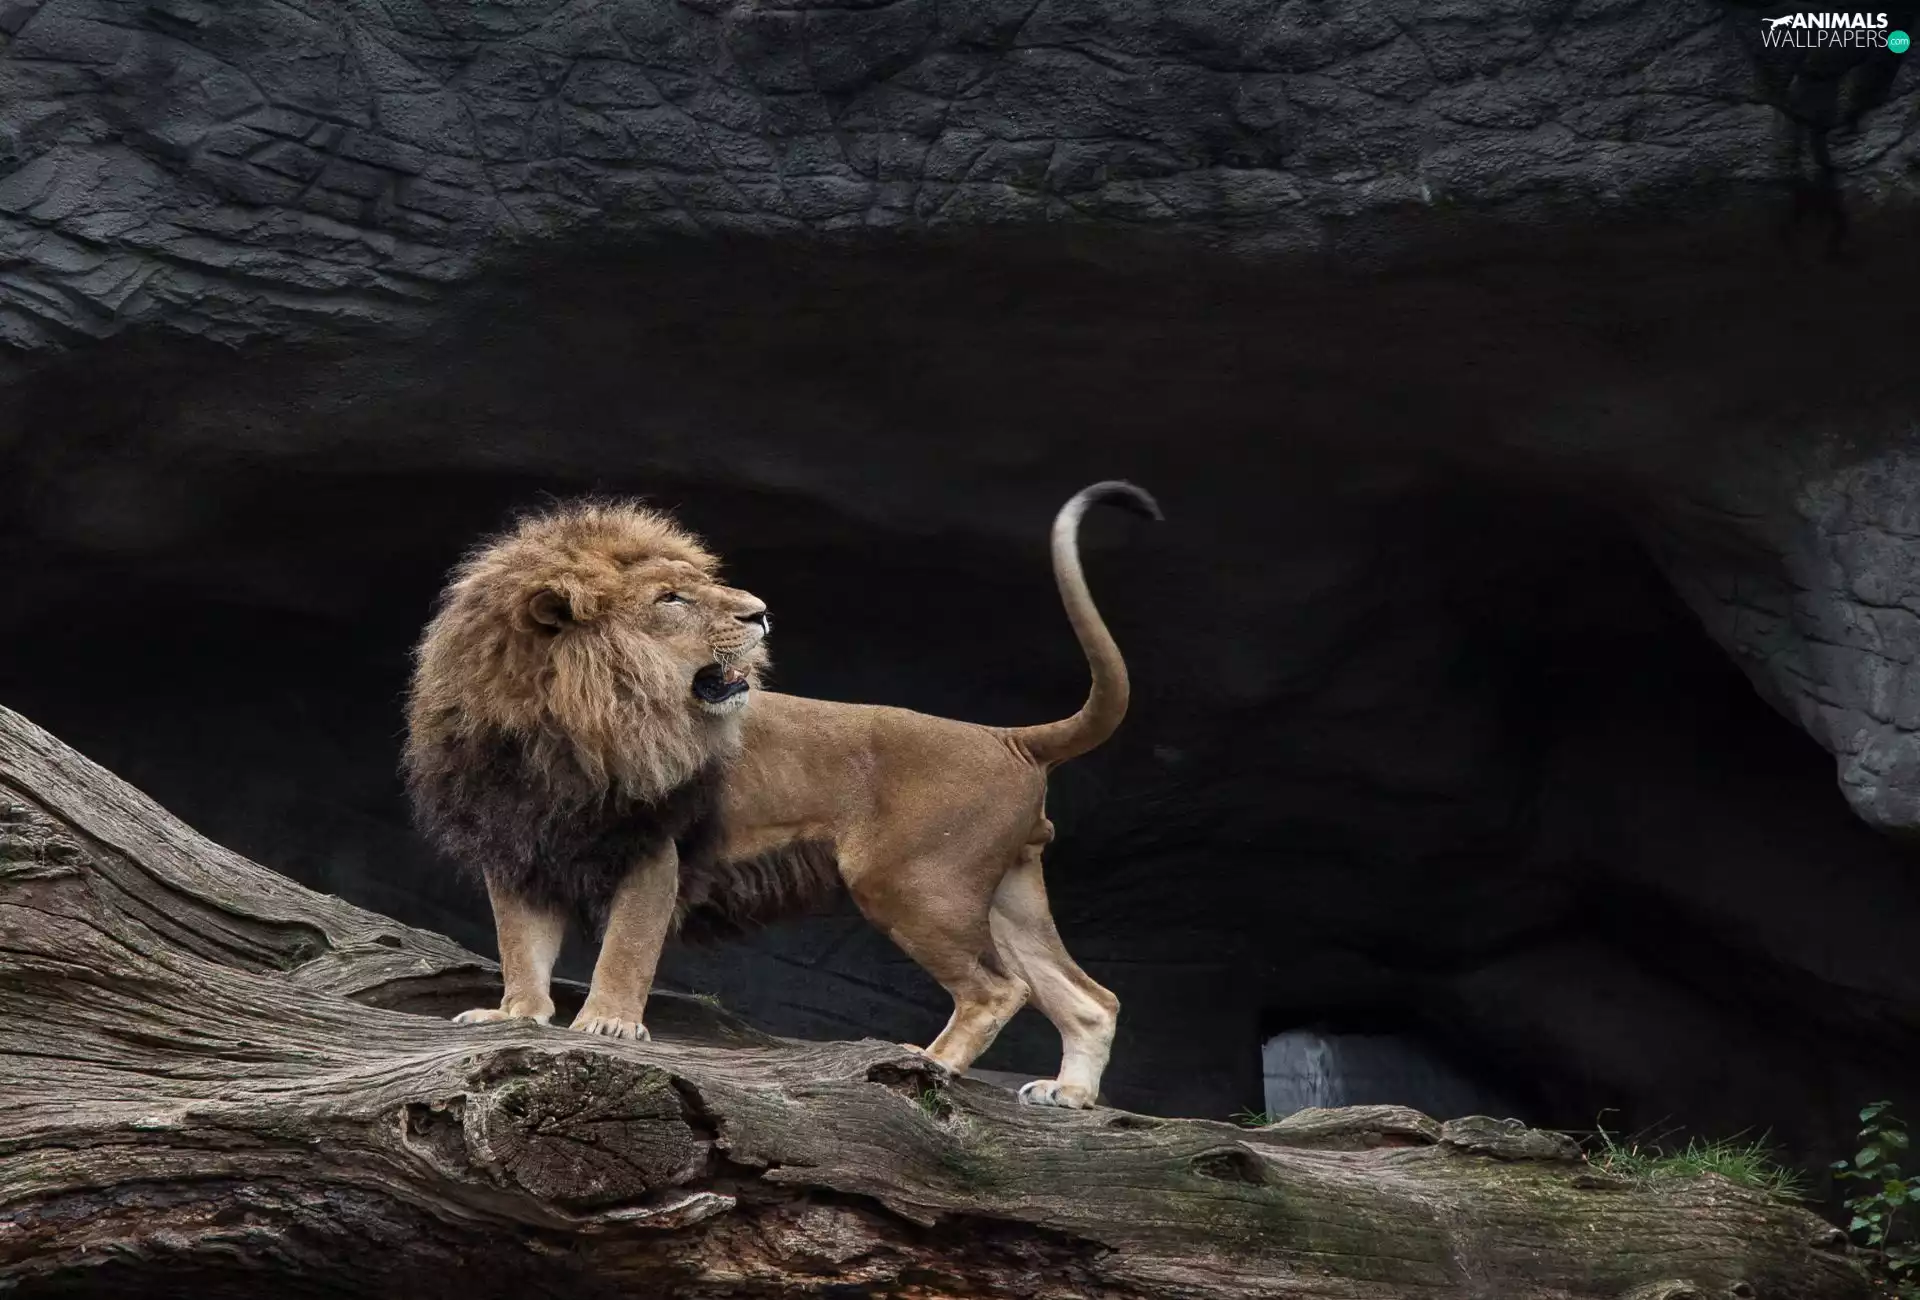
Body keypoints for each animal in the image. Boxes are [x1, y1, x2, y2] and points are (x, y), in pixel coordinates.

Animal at [404, 481, 1159, 1108]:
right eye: (670, 599)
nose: (761, 613)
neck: (556, 727)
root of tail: (1008, 737)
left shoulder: (654, 850)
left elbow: (627, 945)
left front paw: (608, 1025)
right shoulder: (517, 850)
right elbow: (521, 944)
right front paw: (516, 1015)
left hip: (914, 883)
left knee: (1002, 989)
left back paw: (932, 1065)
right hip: (1002, 893)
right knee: (1089, 997)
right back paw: (1069, 1095)